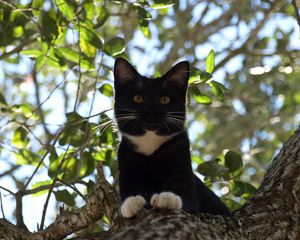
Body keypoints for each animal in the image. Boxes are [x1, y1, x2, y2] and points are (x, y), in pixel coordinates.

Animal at [112, 57, 230, 218]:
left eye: (164, 99)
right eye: (137, 98)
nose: (152, 110)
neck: (150, 144)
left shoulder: (181, 154)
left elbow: (186, 197)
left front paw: (168, 197)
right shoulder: (126, 159)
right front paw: (132, 202)